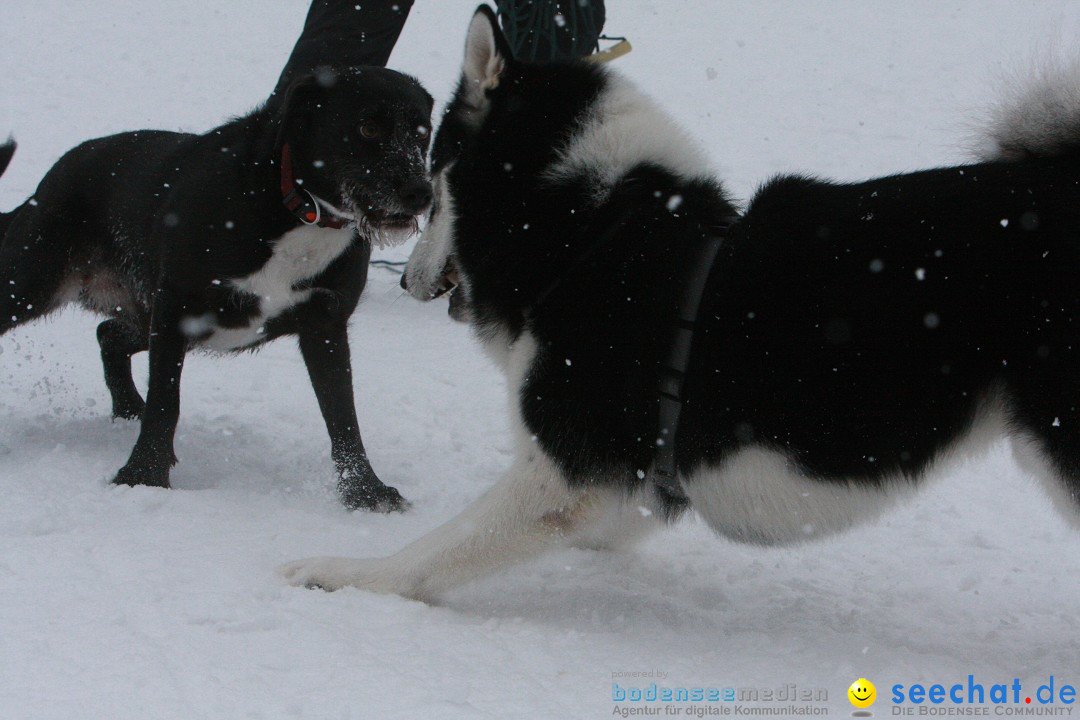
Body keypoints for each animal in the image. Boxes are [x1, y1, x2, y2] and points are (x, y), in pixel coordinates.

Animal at [1, 64, 429, 509]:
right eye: (368, 128)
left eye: (423, 133)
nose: (421, 193)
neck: (294, 204)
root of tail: (48, 182)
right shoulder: (175, 310)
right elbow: (166, 403)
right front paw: (143, 476)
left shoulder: (324, 324)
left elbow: (343, 417)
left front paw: (365, 492)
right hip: (30, 287)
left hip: (162, 318)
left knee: (107, 333)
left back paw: (127, 407)